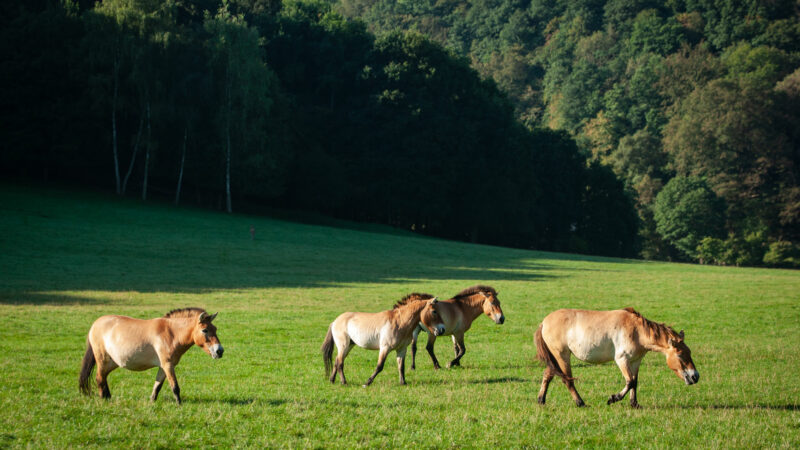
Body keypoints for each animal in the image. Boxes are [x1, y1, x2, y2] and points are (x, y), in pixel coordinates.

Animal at [79, 308, 222, 406]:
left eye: (215, 328)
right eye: (205, 330)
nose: (219, 351)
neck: (171, 333)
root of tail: (95, 325)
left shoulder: (163, 367)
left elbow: (157, 386)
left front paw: (152, 402)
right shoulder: (168, 365)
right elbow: (175, 387)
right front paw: (179, 404)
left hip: (111, 363)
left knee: (103, 378)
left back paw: (108, 397)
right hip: (102, 360)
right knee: (99, 378)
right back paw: (104, 399)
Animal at [536, 310, 696, 408]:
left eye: (689, 352)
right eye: (680, 355)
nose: (695, 376)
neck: (637, 331)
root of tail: (544, 322)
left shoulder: (635, 361)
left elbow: (635, 382)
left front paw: (634, 404)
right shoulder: (622, 360)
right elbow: (630, 381)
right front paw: (614, 398)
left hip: (555, 358)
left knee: (547, 375)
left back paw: (541, 400)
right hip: (562, 356)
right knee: (567, 380)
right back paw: (580, 403)